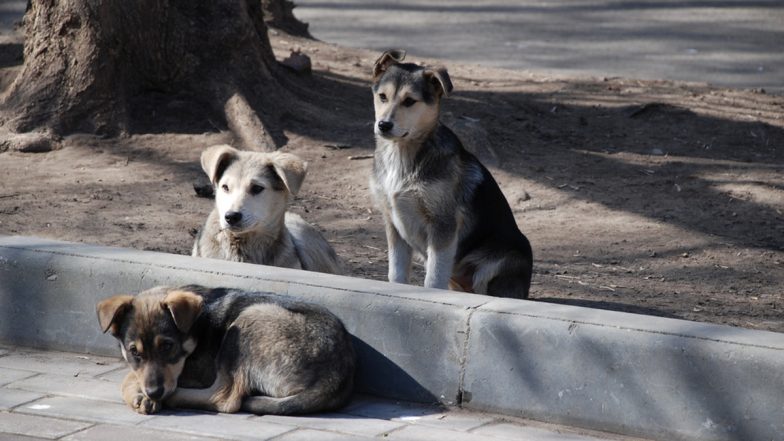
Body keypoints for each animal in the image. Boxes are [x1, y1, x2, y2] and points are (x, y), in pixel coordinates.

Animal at [95, 284, 356, 414]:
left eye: (168, 346)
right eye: (134, 352)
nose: (154, 393)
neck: (197, 327)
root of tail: (335, 377)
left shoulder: (195, 372)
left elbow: (128, 377)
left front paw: (139, 395)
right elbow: (133, 373)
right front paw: (141, 395)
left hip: (249, 319)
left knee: (225, 398)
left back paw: (173, 399)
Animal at [368, 50, 532, 300]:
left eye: (409, 101)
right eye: (382, 97)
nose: (383, 125)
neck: (403, 154)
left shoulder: (443, 225)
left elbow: (434, 278)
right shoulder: (393, 223)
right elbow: (396, 273)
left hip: (500, 259)